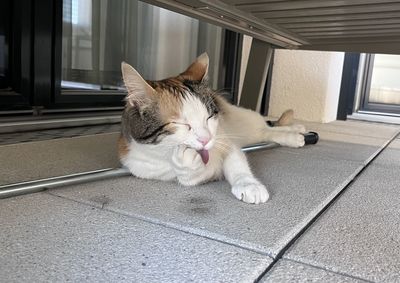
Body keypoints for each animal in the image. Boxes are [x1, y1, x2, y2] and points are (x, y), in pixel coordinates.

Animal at [117, 52, 304, 204]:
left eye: (208, 117)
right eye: (181, 124)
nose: (206, 139)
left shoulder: (225, 140)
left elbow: (237, 164)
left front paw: (249, 184)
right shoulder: (146, 168)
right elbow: (190, 177)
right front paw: (187, 162)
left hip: (243, 122)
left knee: (266, 129)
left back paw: (295, 132)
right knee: (265, 132)